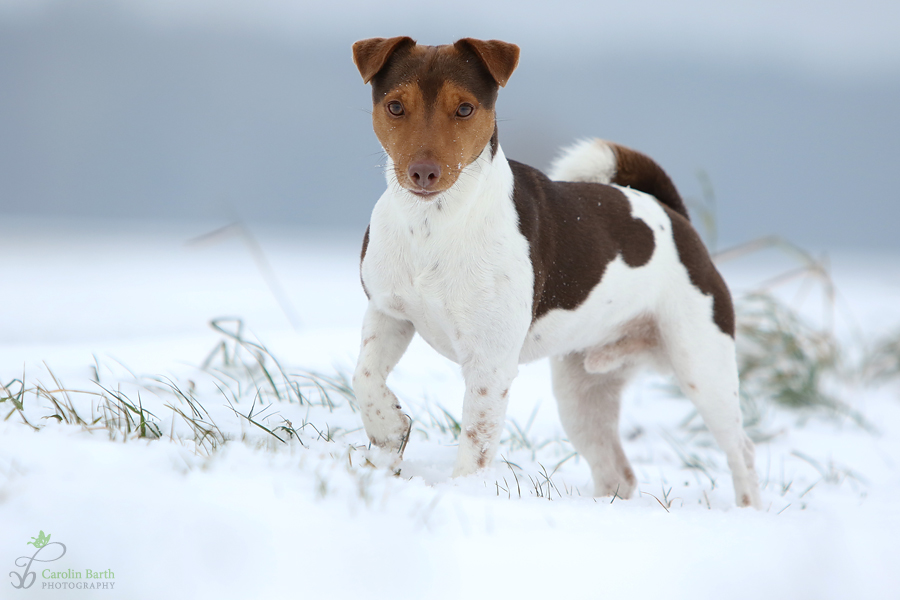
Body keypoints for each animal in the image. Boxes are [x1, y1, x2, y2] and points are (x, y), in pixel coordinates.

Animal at [352, 36, 760, 506]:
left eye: (465, 109)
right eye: (396, 106)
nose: (423, 172)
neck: (432, 226)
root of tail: (674, 215)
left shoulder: (490, 363)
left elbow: (475, 443)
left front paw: (462, 493)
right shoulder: (388, 314)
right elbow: (364, 378)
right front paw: (388, 434)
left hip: (702, 367)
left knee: (743, 451)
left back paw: (749, 509)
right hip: (582, 391)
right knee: (617, 471)